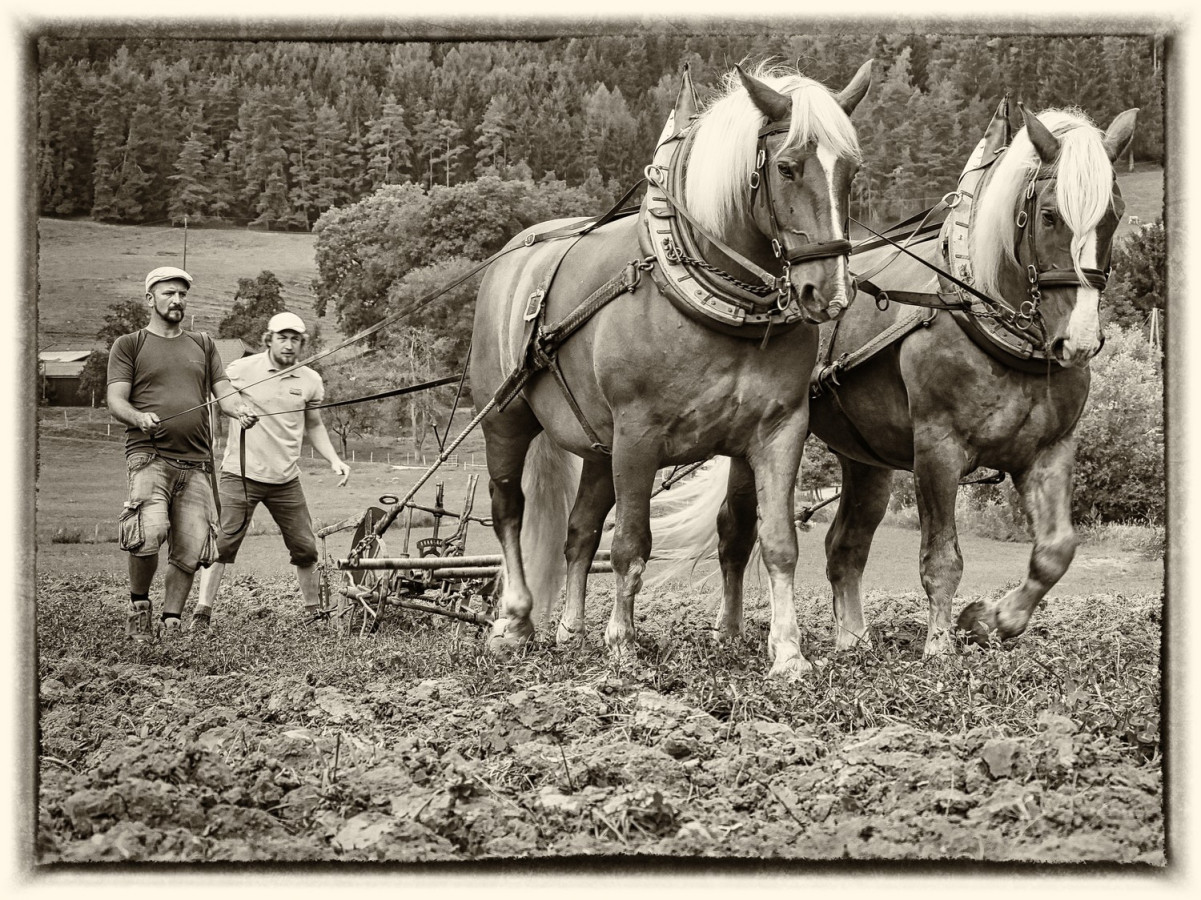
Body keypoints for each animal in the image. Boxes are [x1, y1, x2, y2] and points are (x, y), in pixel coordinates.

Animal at [468, 60, 873, 678]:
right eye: (786, 167)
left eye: (851, 170)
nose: (828, 294)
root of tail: (514, 253)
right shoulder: (639, 434)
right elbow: (632, 544)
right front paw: (621, 643)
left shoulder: (778, 430)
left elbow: (777, 541)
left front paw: (787, 653)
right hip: (507, 420)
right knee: (509, 510)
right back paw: (514, 621)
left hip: (599, 447)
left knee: (579, 531)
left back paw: (569, 629)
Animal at [643, 101, 1137, 658]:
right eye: (1050, 215)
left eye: (1114, 216)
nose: (1080, 341)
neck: (982, 317)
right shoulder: (937, 449)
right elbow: (942, 558)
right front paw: (939, 649)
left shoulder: (1052, 449)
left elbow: (1056, 550)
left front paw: (990, 619)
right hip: (755, 445)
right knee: (736, 531)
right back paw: (729, 631)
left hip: (866, 460)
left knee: (845, 545)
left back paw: (854, 641)